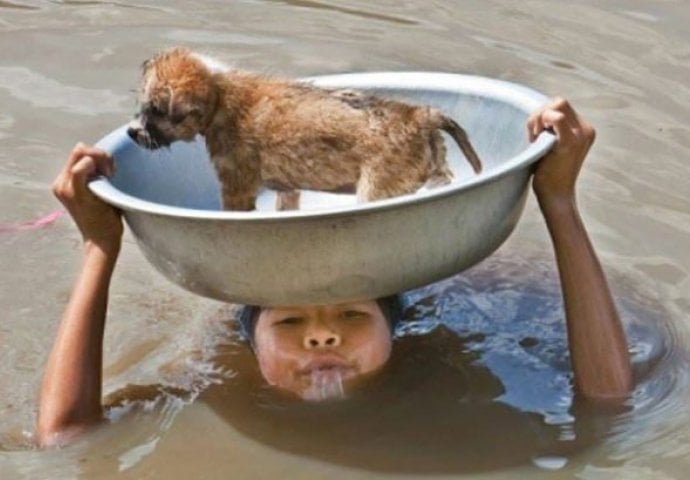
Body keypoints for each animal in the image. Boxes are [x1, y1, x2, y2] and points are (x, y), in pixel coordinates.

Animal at [129, 47, 482, 211]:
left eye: (155, 110)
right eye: (142, 105)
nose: (132, 132)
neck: (219, 96)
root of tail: (419, 115)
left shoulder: (236, 186)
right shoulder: (287, 189)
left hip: (376, 190)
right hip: (435, 170)